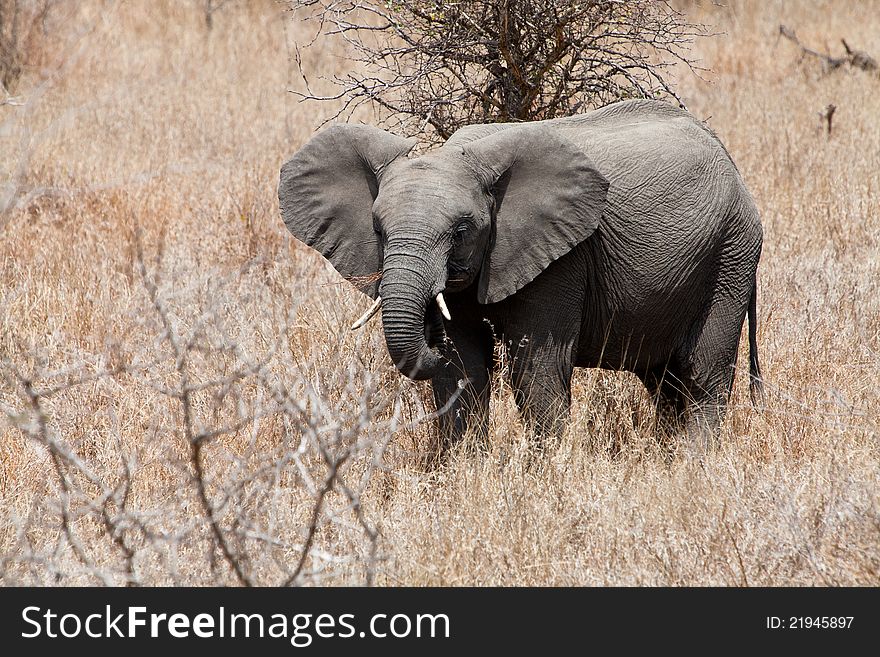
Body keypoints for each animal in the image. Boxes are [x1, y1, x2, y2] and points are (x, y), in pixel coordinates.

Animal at [276, 98, 764, 456]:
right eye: (378, 230)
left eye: (460, 232)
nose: (429, 334)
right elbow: (462, 367)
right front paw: (463, 472)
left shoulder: (563, 258)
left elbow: (536, 368)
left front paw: (544, 476)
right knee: (663, 379)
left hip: (731, 254)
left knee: (703, 374)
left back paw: (693, 463)